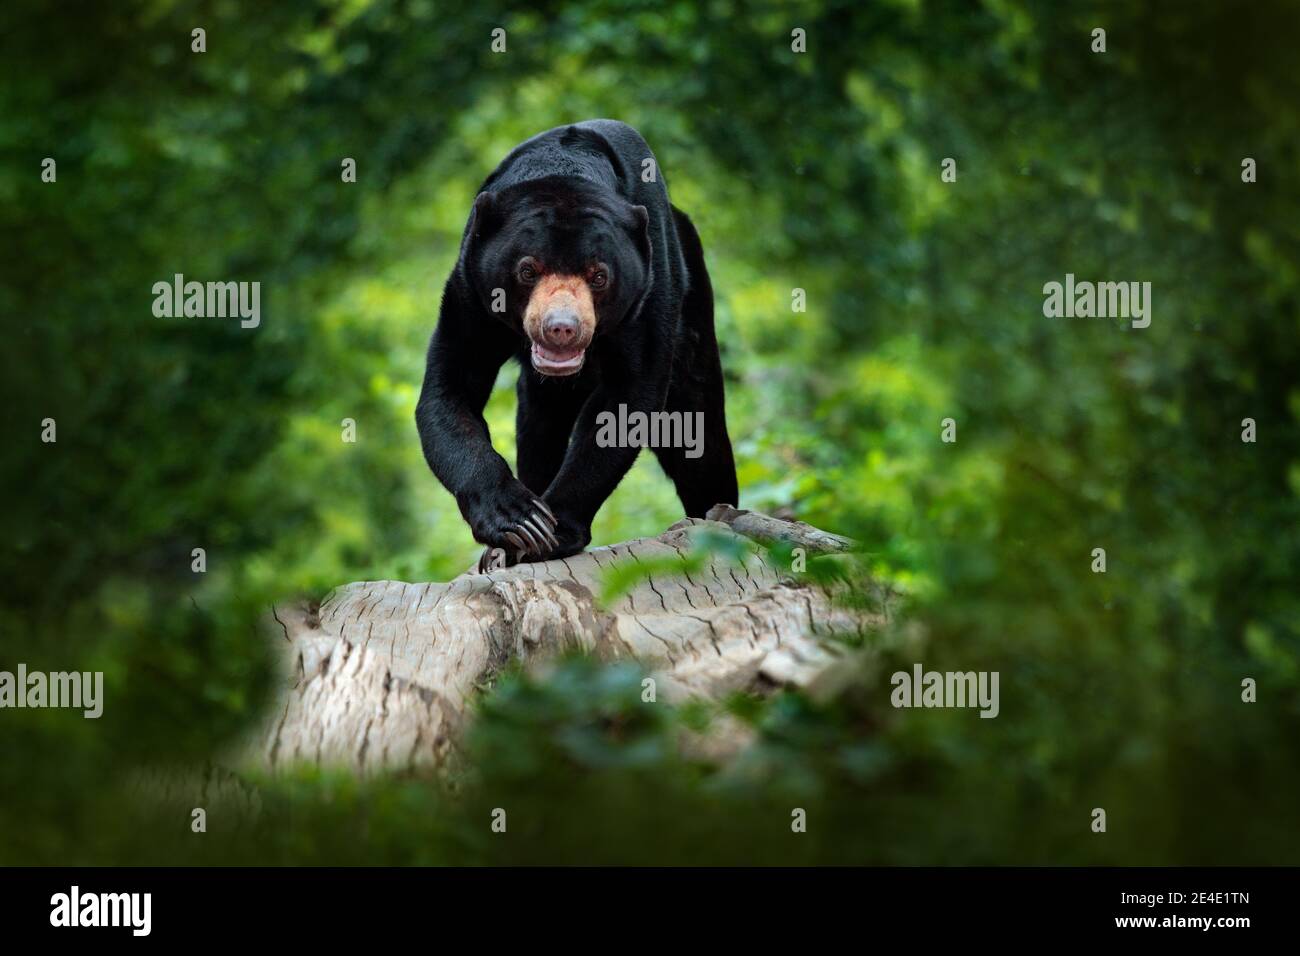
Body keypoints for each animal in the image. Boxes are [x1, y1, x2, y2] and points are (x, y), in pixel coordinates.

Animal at [415, 120, 737, 570]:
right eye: (527, 270)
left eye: (598, 275)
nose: (562, 328)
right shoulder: (471, 291)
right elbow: (451, 391)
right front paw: (518, 523)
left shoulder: (649, 289)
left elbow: (628, 399)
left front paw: (551, 534)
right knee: (538, 424)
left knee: (697, 425)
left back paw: (718, 513)